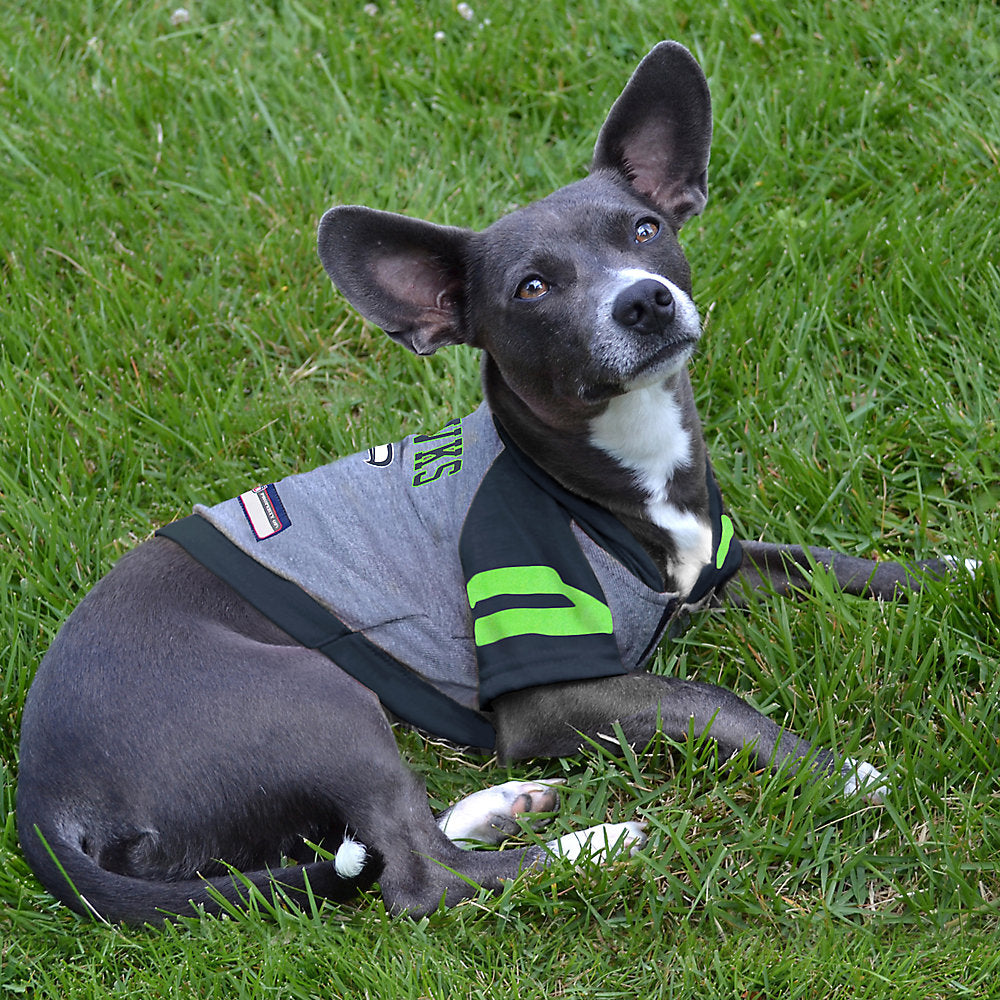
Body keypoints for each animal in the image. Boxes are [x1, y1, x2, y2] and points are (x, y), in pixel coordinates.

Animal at [15, 43, 952, 924]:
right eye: (531, 287)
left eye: (645, 230)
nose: (643, 301)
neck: (614, 468)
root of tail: (41, 801)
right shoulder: (550, 691)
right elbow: (714, 700)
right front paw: (840, 771)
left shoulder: (715, 564)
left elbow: (828, 560)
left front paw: (955, 576)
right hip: (314, 695)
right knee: (419, 875)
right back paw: (597, 842)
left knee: (390, 840)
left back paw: (501, 806)